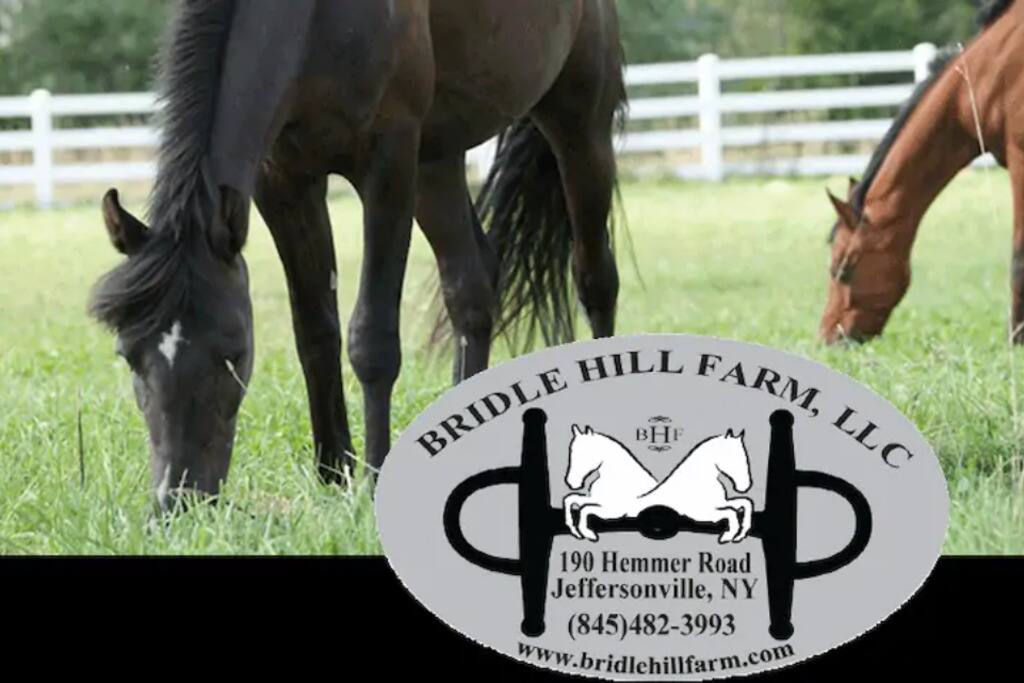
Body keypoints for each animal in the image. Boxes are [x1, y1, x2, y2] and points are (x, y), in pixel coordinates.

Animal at [88, 0, 627, 510]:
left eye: (234, 353)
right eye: (127, 355)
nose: (178, 501)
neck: (320, 19)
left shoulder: (388, 163)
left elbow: (372, 339)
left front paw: (372, 478)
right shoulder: (283, 180)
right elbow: (314, 333)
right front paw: (332, 471)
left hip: (578, 126)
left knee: (595, 277)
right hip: (437, 161)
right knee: (470, 286)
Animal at [563, 425, 754, 544]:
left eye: (742, 456)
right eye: (573, 452)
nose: (571, 483)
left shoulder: (708, 512)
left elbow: (742, 505)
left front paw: (732, 536)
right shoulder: (609, 509)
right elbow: (574, 502)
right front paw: (583, 532)